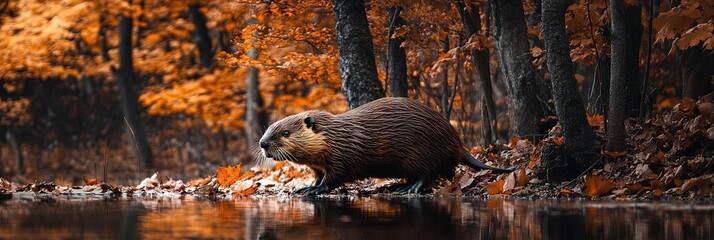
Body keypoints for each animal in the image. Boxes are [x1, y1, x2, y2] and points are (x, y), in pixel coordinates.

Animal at [256, 96, 512, 194]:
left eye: (286, 132)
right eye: (270, 128)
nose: (262, 143)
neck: (337, 136)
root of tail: (459, 145)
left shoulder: (342, 156)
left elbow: (335, 176)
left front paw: (314, 190)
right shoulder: (319, 163)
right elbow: (318, 175)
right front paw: (306, 187)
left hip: (420, 154)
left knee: (427, 174)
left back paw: (405, 189)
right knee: (447, 172)